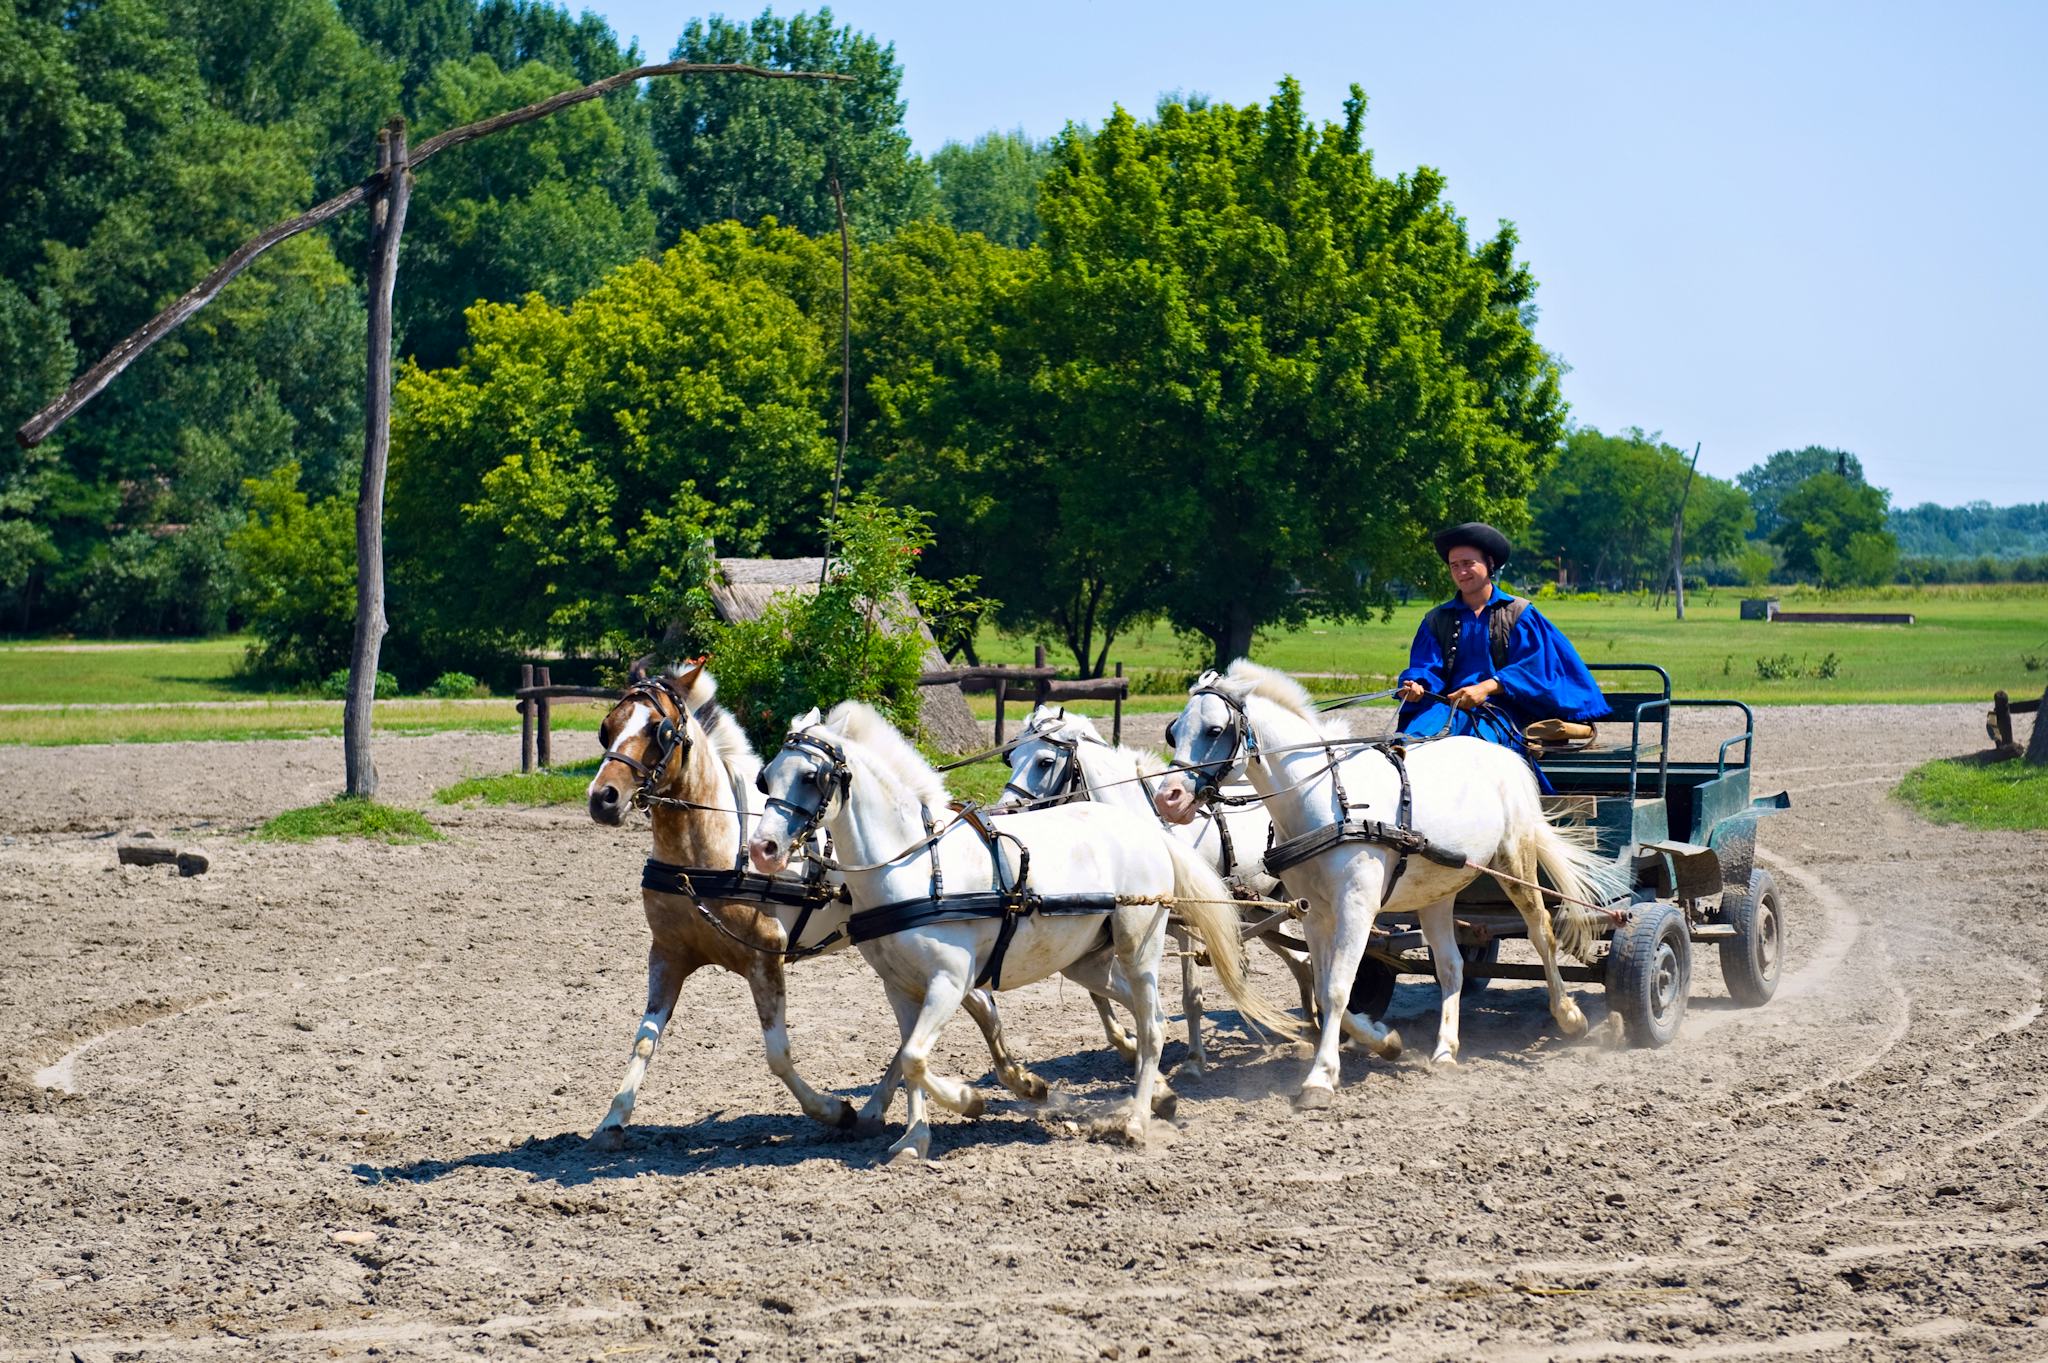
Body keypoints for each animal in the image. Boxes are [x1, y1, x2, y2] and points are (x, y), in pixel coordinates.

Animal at [581, 663, 1048, 1137]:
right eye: (608, 728)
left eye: (660, 730)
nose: (603, 798)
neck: (706, 857)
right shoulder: (668, 954)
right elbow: (643, 1039)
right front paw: (612, 1120)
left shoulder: (763, 958)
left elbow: (778, 1056)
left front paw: (830, 1109)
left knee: (971, 1007)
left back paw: (1007, 1085)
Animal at [999, 699, 1318, 1072]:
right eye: (1012, 757)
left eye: (1045, 761)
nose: (1005, 811)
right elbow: (1098, 990)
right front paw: (1125, 1044)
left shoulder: (1191, 926)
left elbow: (1191, 996)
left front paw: (1193, 1059)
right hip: (1260, 911)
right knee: (1301, 960)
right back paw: (1309, 1027)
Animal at [1155, 658, 1613, 1105]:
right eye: (1173, 731)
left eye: (1215, 730)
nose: (1167, 798)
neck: (1325, 801)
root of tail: (1503, 754)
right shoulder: (1312, 913)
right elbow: (1326, 986)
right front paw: (1384, 1040)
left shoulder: (1356, 908)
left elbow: (1338, 988)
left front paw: (1321, 1078)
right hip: (1437, 891)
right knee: (1451, 966)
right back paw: (1445, 1050)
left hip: (1516, 861)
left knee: (1541, 932)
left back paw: (1569, 1016)